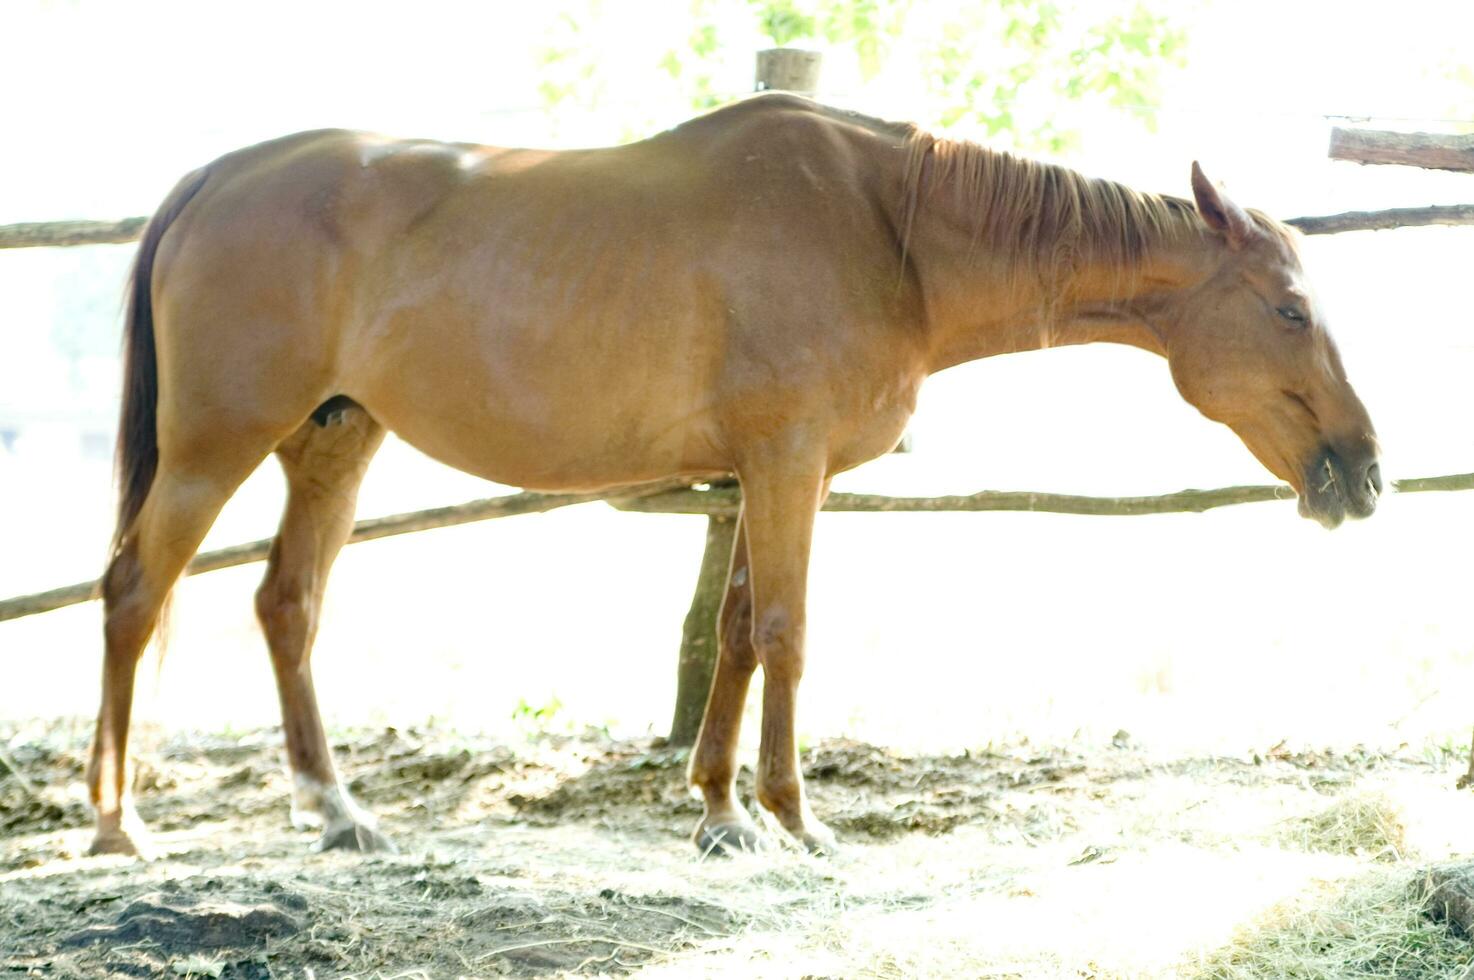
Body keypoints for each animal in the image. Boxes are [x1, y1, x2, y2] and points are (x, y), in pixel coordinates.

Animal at [86, 93, 1379, 854]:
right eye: (1289, 307)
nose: (1362, 471)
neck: (886, 234)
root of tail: (216, 177)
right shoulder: (788, 459)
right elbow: (788, 632)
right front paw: (793, 816)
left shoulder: (770, 469)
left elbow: (743, 625)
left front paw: (718, 807)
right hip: (212, 448)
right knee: (135, 594)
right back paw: (118, 824)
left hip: (332, 440)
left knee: (286, 602)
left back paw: (337, 809)